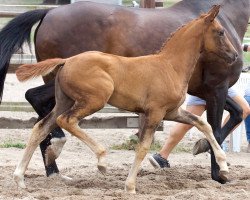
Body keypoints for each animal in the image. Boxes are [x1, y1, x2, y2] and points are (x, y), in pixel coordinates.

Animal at [0, 0, 249, 183]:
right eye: (220, 32)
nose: (235, 55)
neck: (169, 64)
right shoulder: (214, 90)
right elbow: (213, 128)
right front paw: (220, 174)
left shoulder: (176, 109)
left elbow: (211, 123)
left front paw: (216, 159)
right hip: (92, 100)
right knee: (60, 116)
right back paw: (90, 160)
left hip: (65, 98)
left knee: (41, 124)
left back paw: (31, 174)